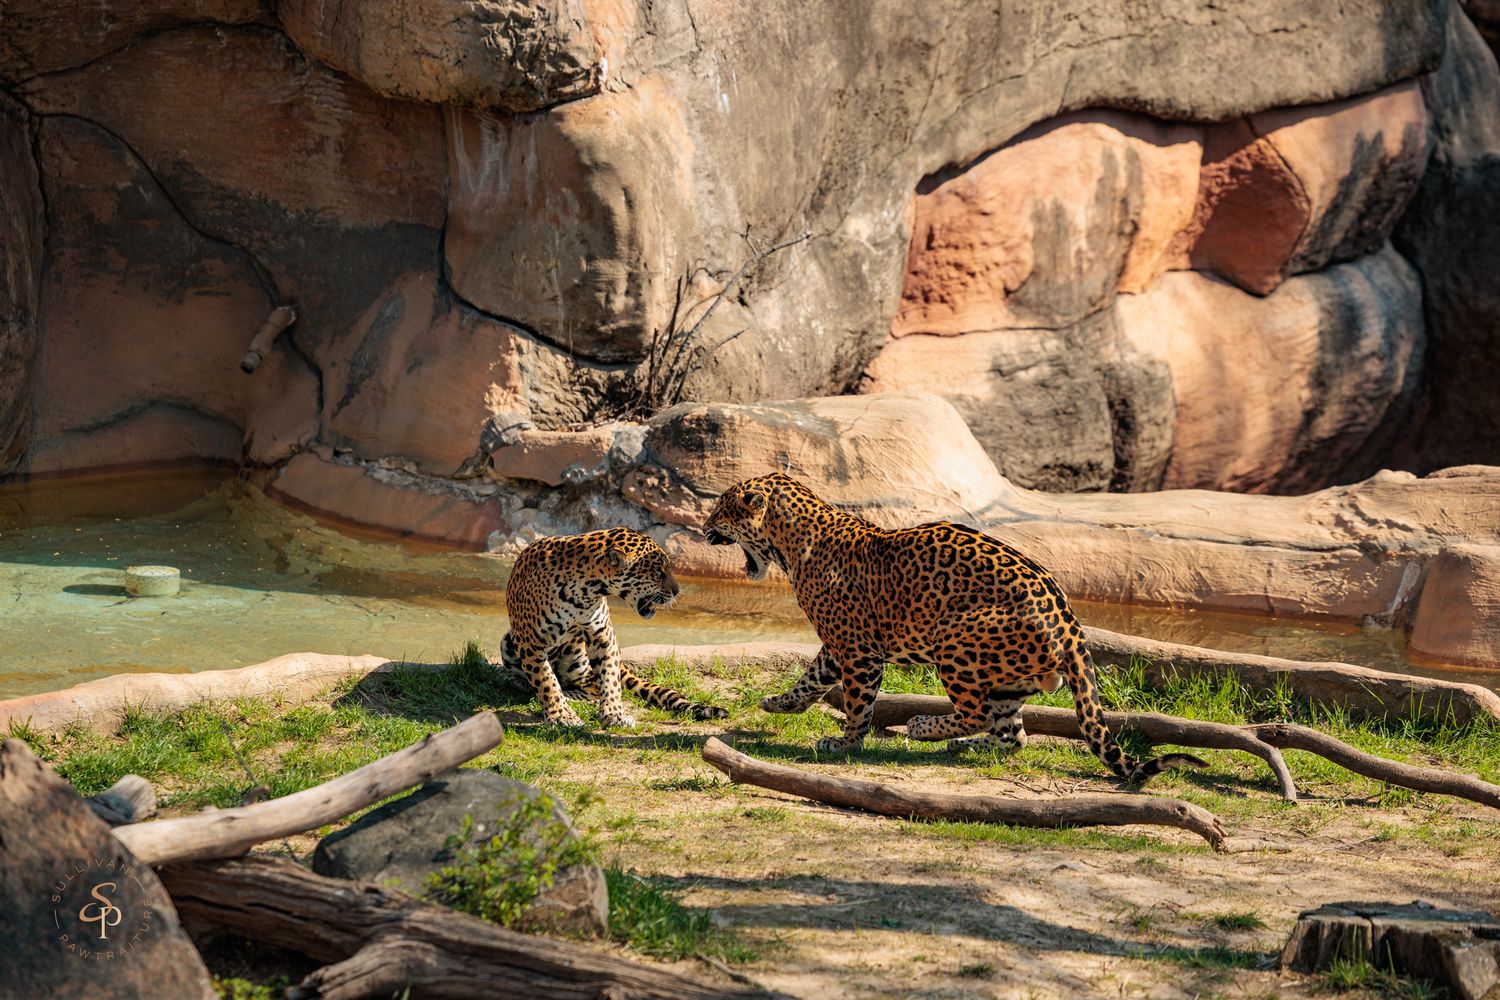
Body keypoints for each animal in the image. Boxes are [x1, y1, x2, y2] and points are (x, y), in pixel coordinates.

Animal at [500, 527, 728, 728]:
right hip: (508, 641)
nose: (677, 591)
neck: (585, 591)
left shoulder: (602, 634)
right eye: (657, 571)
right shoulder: (530, 640)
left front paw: (615, 714)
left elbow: (609, 677)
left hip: (578, 658)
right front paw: (562, 716)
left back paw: (569, 695)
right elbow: (546, 680)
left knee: (591, 688)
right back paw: (519, 681)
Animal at [702, 472, 1205, 784]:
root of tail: (1071, 625)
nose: (703, 527)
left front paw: (844, 742)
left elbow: (858, 704)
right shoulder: (839, 645)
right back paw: (966, 745)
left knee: (977, 712)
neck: (790, 543)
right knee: (1012, 734)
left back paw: (923, 727)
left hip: (955, 640)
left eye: (721, 509)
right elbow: (810, 679)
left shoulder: (858, 650)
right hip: (1009, 677)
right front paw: (778, 703)